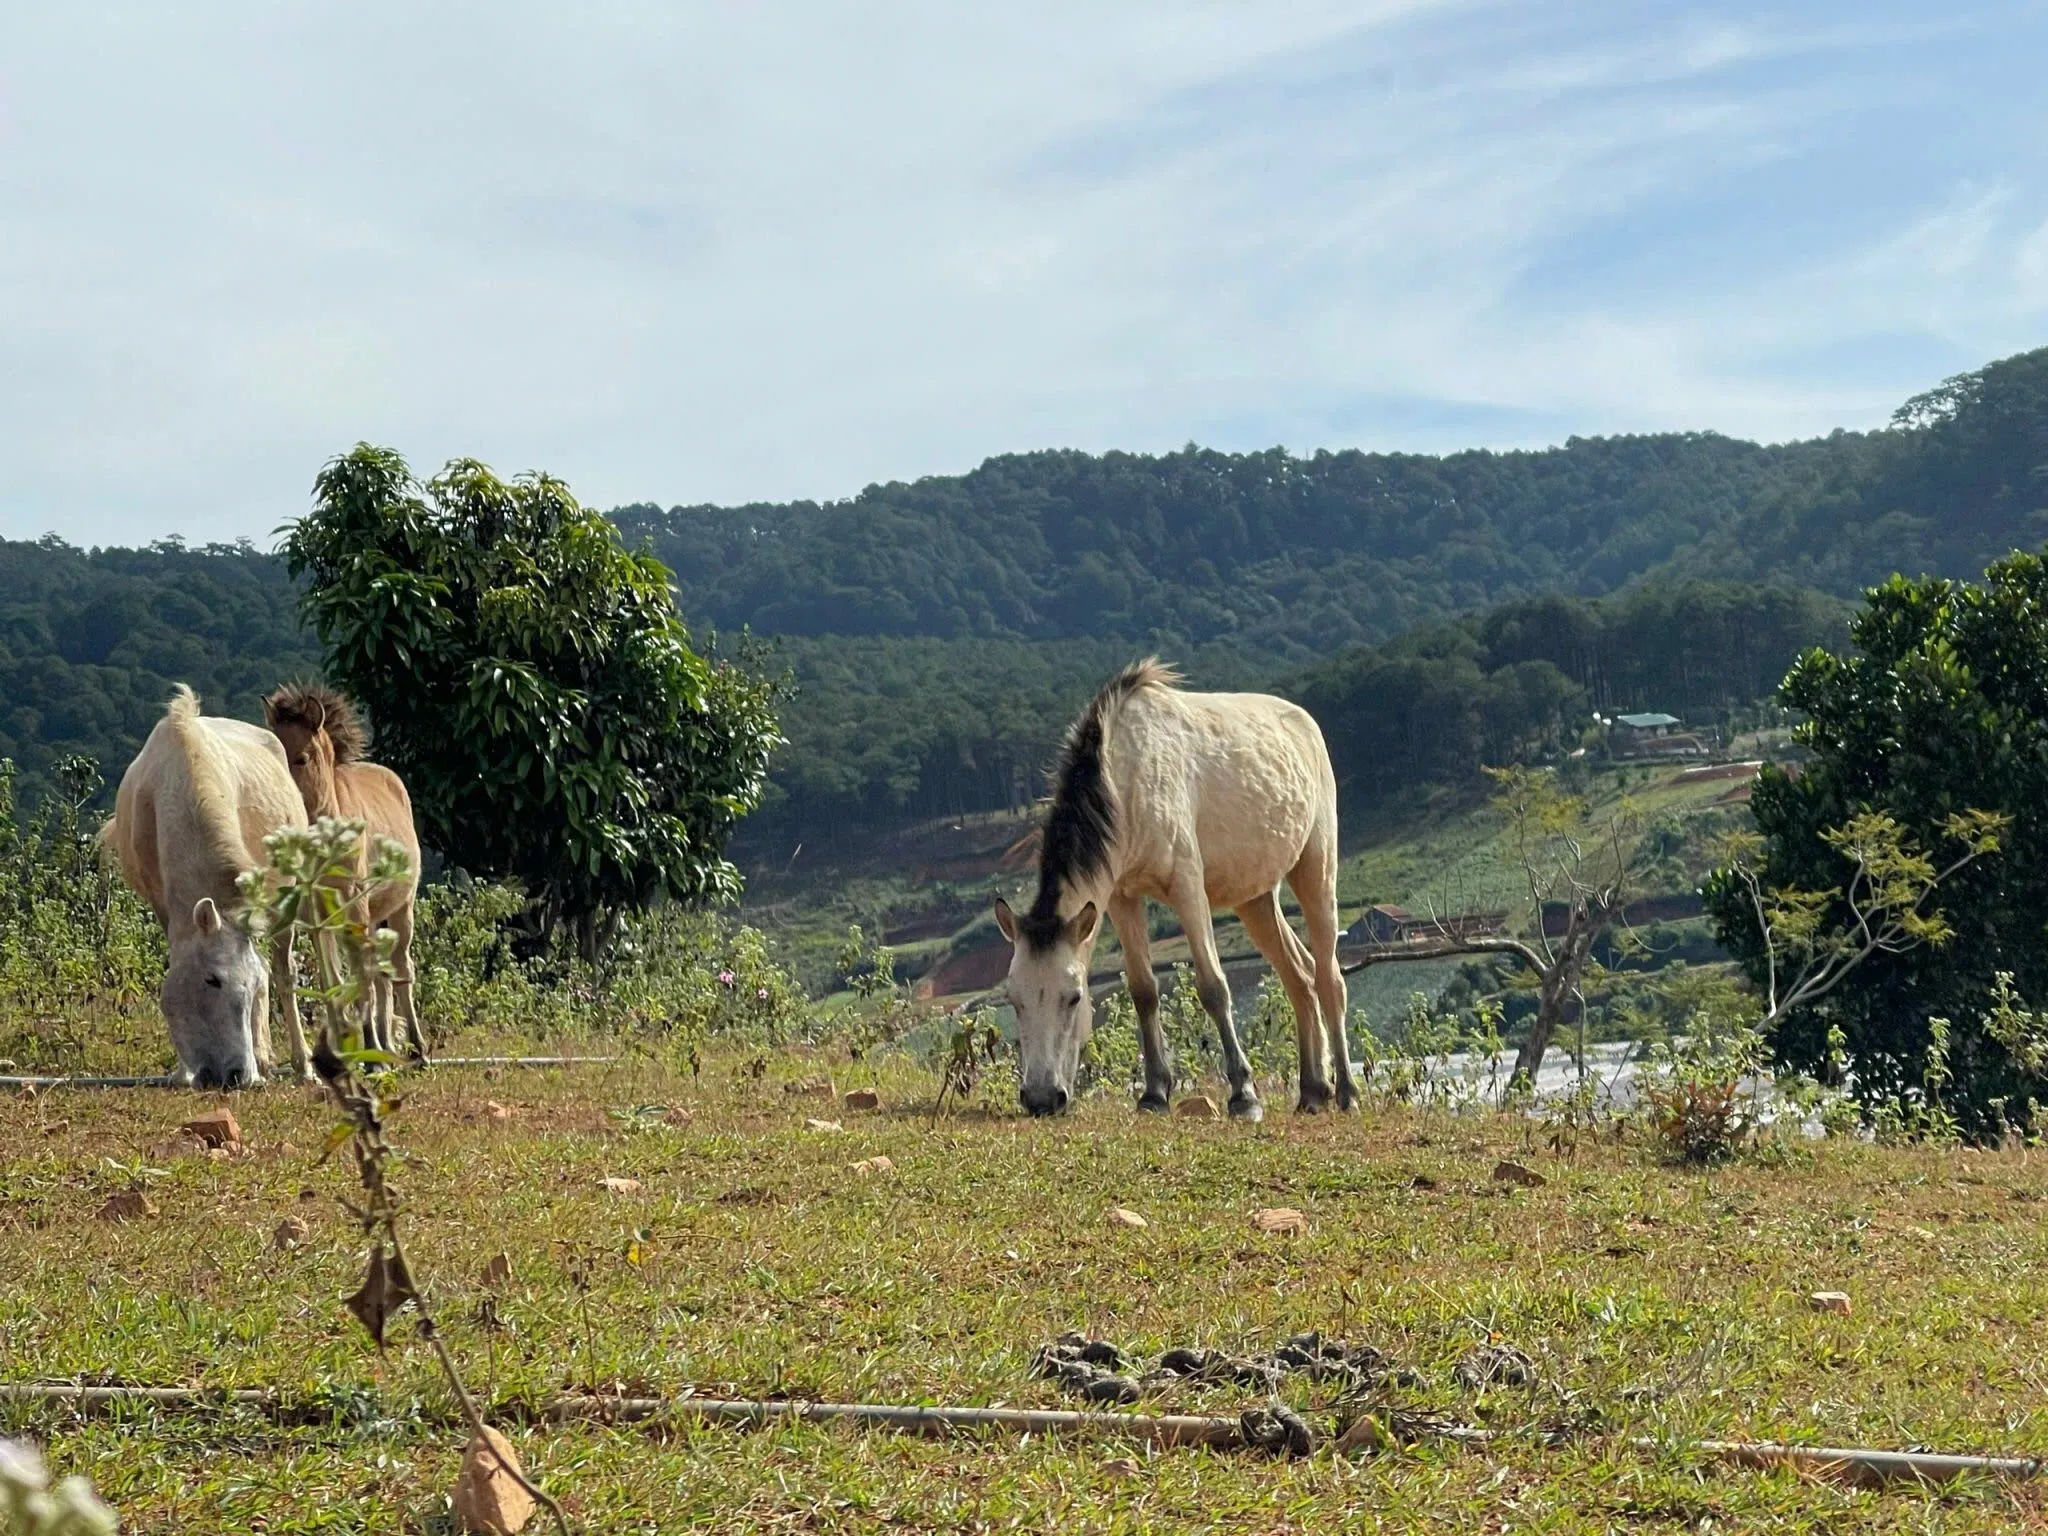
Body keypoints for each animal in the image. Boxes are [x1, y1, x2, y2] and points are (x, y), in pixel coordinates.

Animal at [103, 684, 309, 1097]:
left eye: (247, 988)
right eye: (212, 980)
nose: (238, 1076)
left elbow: (268, 975)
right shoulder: (163, 906)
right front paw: (183, 1072)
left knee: (281, 970)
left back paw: (297, 1063)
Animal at [995, 659, 1359, 1122]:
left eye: (1074, 998)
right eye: (1013, 999)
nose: (1041, 1099)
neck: (1124, 779)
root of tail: (1305, 724)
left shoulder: (1187, 887)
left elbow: (1213, 987)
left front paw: (1244, 1096)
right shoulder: (1121, 897)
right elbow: (1143, 991)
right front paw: (1154, 1093)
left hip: (1316, 870)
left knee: (1329, 978)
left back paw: (1346, 1091)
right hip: (1255, 899)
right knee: (1300, 977)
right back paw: (1313, 1090)